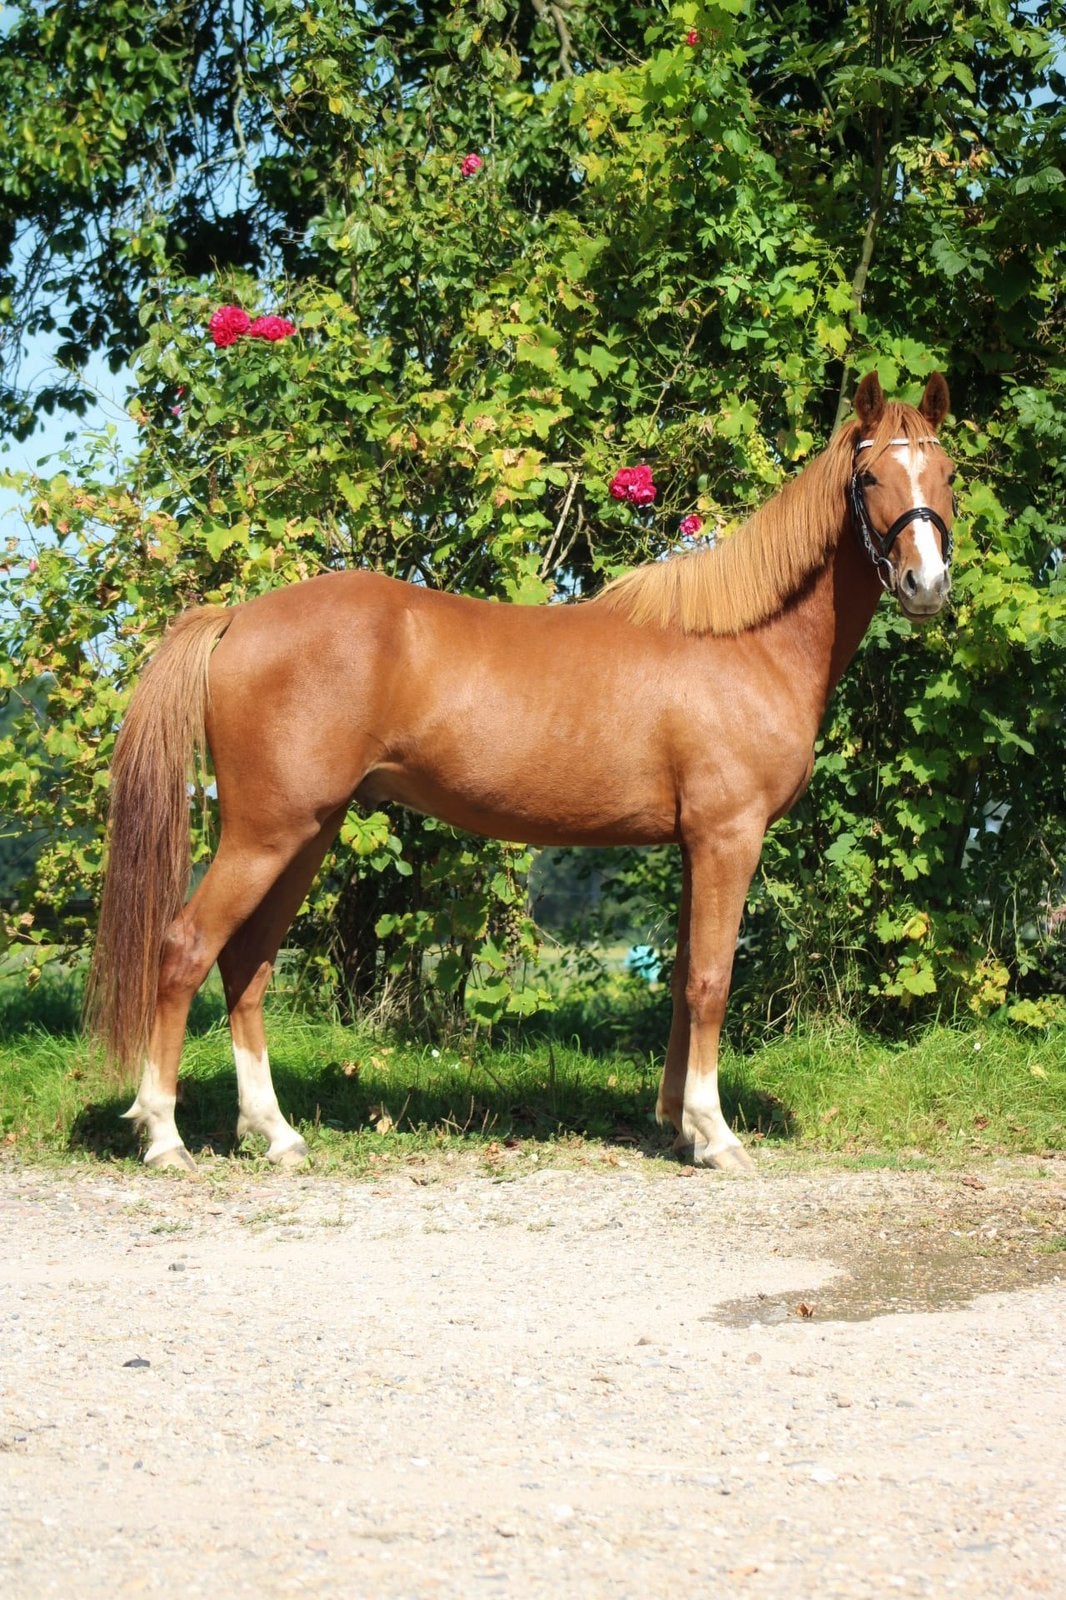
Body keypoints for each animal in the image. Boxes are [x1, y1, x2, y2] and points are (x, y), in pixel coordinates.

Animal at [86, 371, 955, 1173]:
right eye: (870, 478)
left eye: (946, 473)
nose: (928, 586)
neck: (742, 642)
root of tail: (236, 617)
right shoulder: (726, 839)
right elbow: (711, 981)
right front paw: (715, 1136)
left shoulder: (692, 847)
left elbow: (681, 980)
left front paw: (676, 1123)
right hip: (265, 835)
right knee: (186, 949)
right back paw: (163, 1136)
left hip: (305, 835)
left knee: (246, 965)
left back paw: (274, 1133)